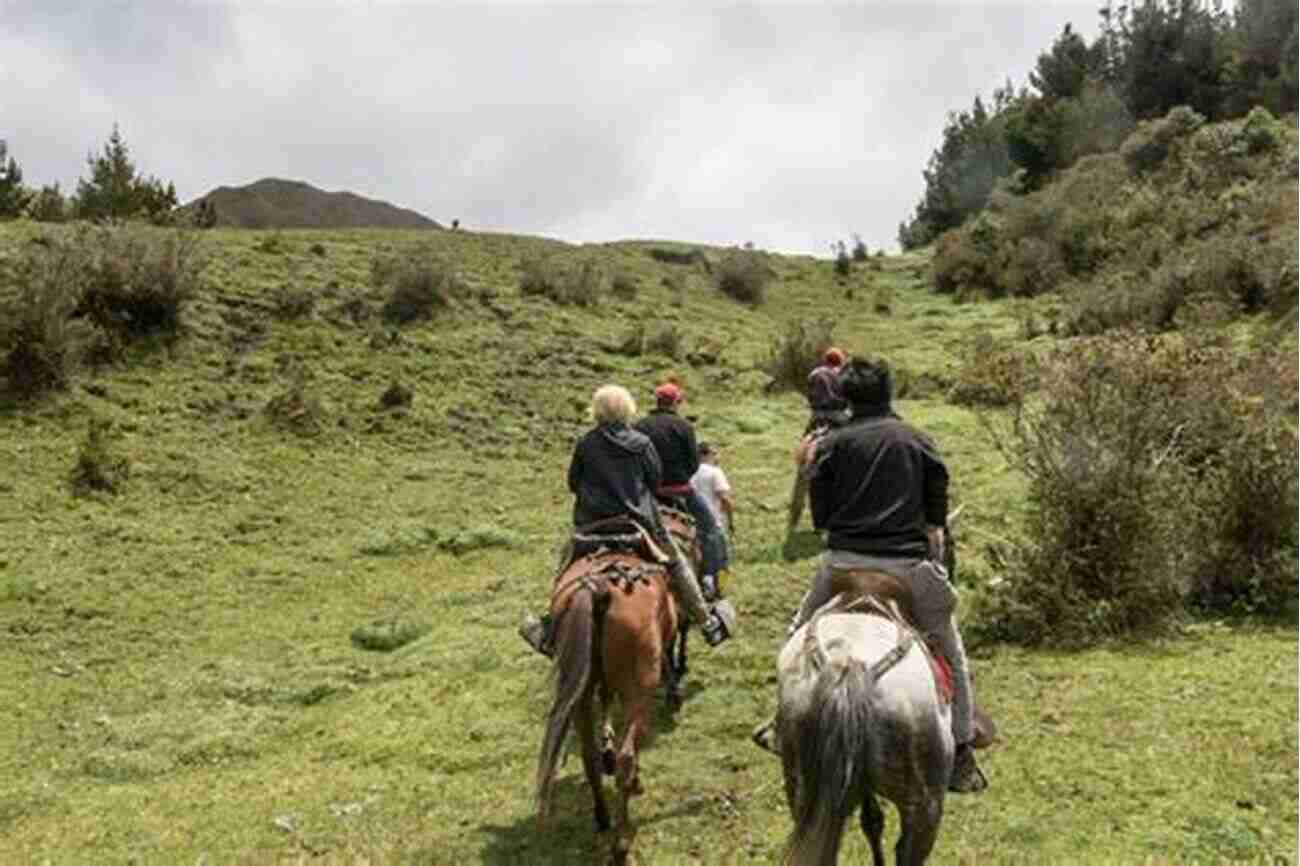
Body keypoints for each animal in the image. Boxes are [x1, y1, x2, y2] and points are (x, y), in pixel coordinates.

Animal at [535, 546, 681, 858]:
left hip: (580, 692)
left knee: (589, 756)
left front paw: (607, 746)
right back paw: (621, 840)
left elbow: (605, 700)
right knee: (627, 756)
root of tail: (599, 589)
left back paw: (602, 817)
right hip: (639, 690)